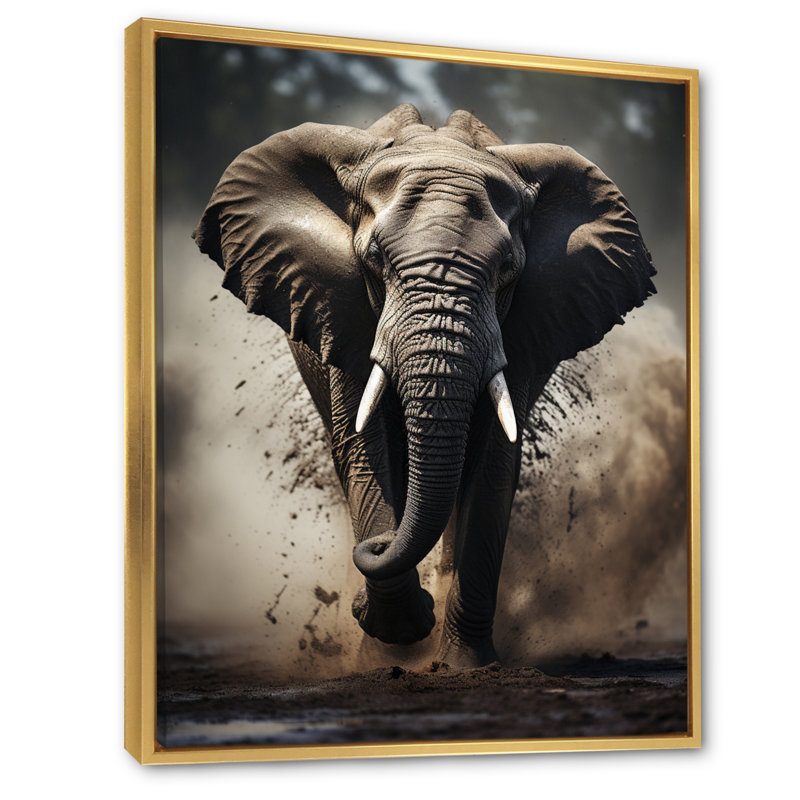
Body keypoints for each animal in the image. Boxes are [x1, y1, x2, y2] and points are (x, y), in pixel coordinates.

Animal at [193, 103, 655, 669]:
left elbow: (493, 464)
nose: (374, 553)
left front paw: (465, 666)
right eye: (374, 261)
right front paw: (394, 634)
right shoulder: (344, 310)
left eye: (507, 271)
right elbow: (366, 448)